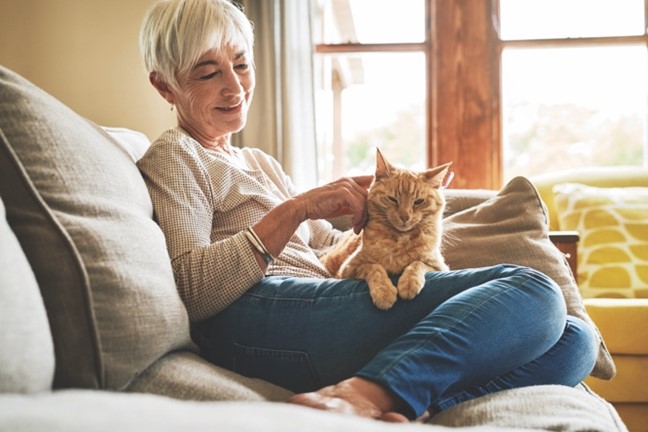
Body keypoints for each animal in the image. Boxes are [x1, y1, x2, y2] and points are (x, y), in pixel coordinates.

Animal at [320, 150, 450, 308]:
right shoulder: (348, 269)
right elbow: (374, 267)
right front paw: (384, 293)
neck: (399, 239)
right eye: (393, 199)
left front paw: (409, 283)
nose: (405, 216)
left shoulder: (439, 266)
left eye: (419, 201)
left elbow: (417, 264)